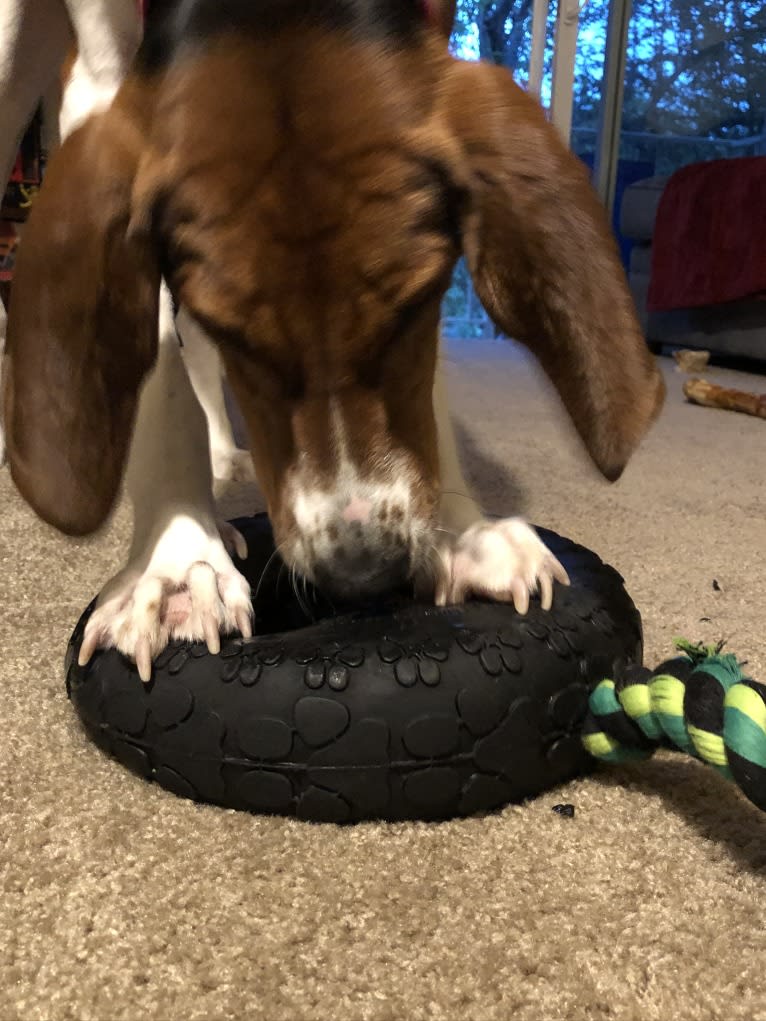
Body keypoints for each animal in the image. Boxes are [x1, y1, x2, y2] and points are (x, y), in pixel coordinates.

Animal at [1, 3, 665, 686]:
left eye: (416, 305)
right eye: (237, 334)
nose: (363, 575)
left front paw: (460, 534)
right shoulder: (99, 84)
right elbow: (161, 381)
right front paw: (176, 563)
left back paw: (225, 452)